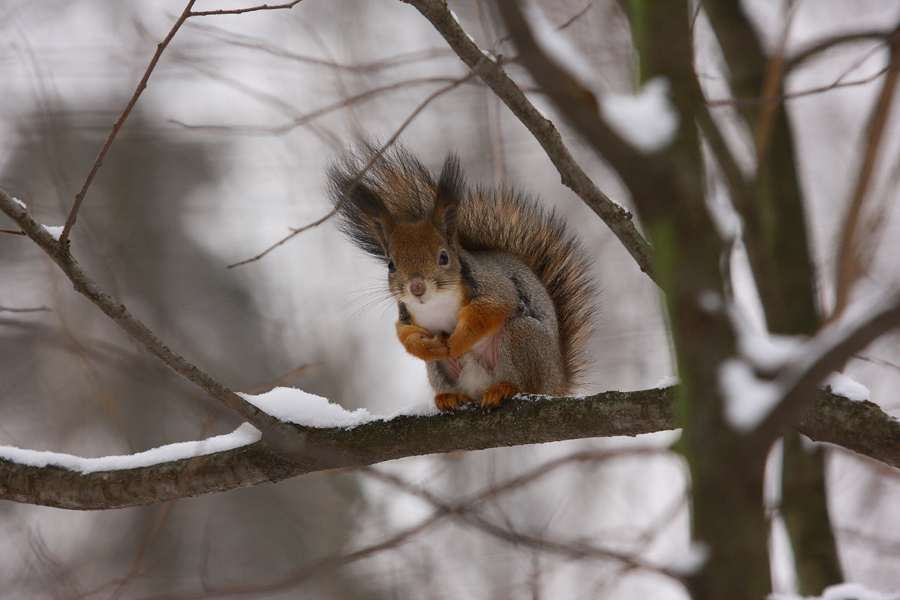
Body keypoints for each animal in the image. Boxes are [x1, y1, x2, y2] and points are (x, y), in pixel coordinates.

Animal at [326, 143, 596, 410]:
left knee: (526, 383)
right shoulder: (405, 313)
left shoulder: (495, 285)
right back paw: (449, 397)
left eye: (444, 257)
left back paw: (503, 388)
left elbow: (492, 308)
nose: (417, 288)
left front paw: (458, 341)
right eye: (391, 265)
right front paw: (426, 345)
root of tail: (558, 382)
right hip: (440, 371)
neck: (435, 303)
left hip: (524, 338)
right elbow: (404, 333)